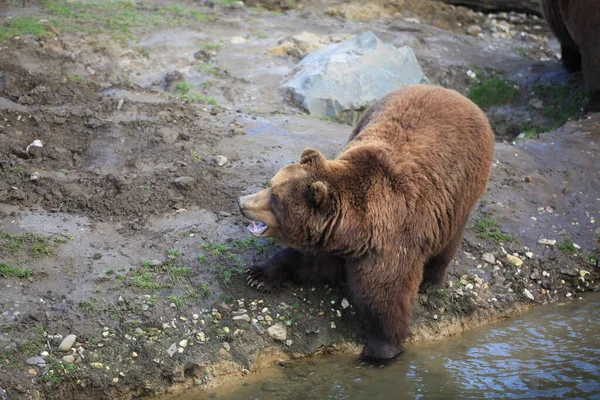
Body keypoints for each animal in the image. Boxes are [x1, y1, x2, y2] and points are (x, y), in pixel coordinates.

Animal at [237, 84, 494, 360]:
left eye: (274, 198)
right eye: (271, 184)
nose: (242, 202)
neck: (355, 231)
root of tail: (455, 94)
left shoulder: (389, 244)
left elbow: (385, 296)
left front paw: (380, 351)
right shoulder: (330, 241)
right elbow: (307, 261)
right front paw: (259, 275)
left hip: (462, 192)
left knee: (449, 238)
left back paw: (430, 281)